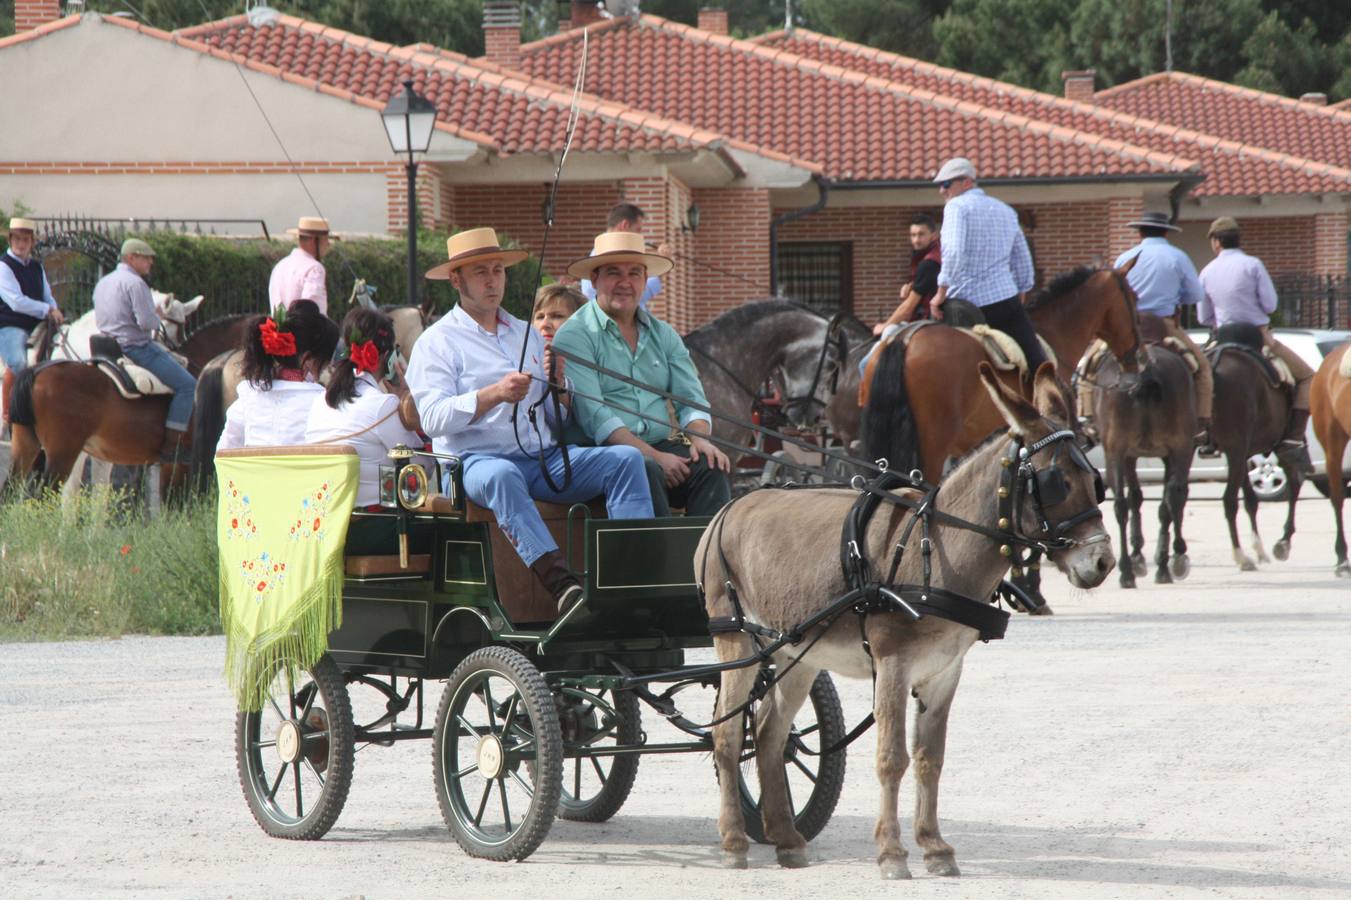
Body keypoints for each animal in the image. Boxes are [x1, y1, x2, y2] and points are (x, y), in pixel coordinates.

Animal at [702, 362, 1113, 870]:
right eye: (1057, 482)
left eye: (1094, 478)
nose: (1104, 562)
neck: (934, 548)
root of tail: (732, 505)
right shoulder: (893, 665)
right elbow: (891, 758)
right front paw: (892, 853)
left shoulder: (944, 670)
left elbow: (929, 759)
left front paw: (934, 847)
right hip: (738, 641)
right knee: (726, 737)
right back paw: (735, 842)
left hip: (796, 654)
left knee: (768, 735)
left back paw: (787, 840)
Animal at [1091, 314, 1199, 589]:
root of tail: (1147, 373)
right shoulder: (1168, 452)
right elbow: (1156, 499)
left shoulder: (1131, 454)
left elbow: (1138, 498)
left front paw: (1140, 557)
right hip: (1177, 447)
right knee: (1170, 497)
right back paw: (1169, 561)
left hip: (1116, 451)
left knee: (1122, 505)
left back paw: (1128, 571)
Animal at [1210, 322, 1302, 567]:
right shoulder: (1248, 448)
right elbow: (1294, 484)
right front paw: (1283, 542)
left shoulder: (1241, 452)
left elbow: (1251, 500)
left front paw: (1260, 548)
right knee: (1229, 500)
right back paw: (1241, 555)